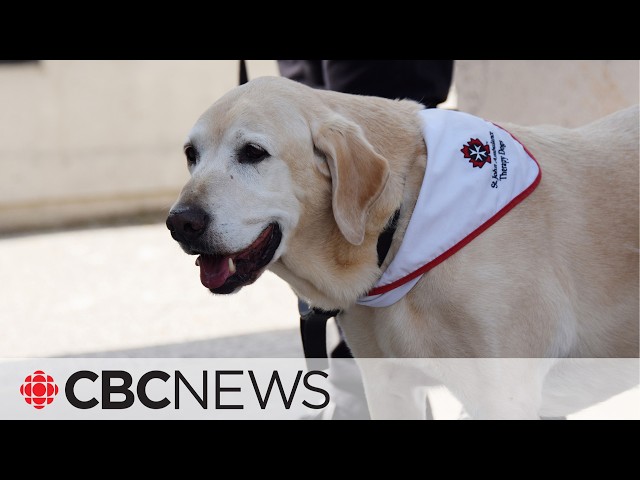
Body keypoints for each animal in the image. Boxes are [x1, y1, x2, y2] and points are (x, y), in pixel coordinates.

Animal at [168, 77, 636, 418]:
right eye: (191, 154)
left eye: (252, 152)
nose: (179, 222)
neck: (397, 233)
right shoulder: (388, 384)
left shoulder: (503, 396)